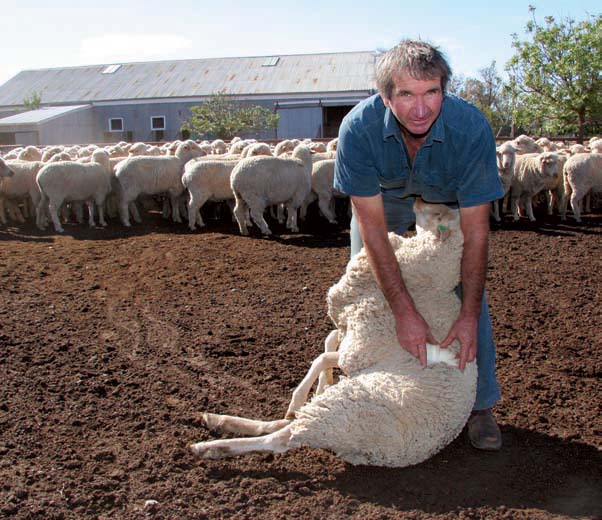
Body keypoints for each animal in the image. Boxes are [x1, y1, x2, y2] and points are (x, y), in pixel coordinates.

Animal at [190, 199, 476, 468]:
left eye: (438, 214)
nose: (417, 199)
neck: (428, 285)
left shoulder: (359, 352)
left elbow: (322, 358)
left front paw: (307, 390)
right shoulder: (348, 333)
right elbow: (328, 342)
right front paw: (321, 382)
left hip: (339, 410)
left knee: (280, 438)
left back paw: (211, 447)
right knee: (282, 425)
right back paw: (218, 420)